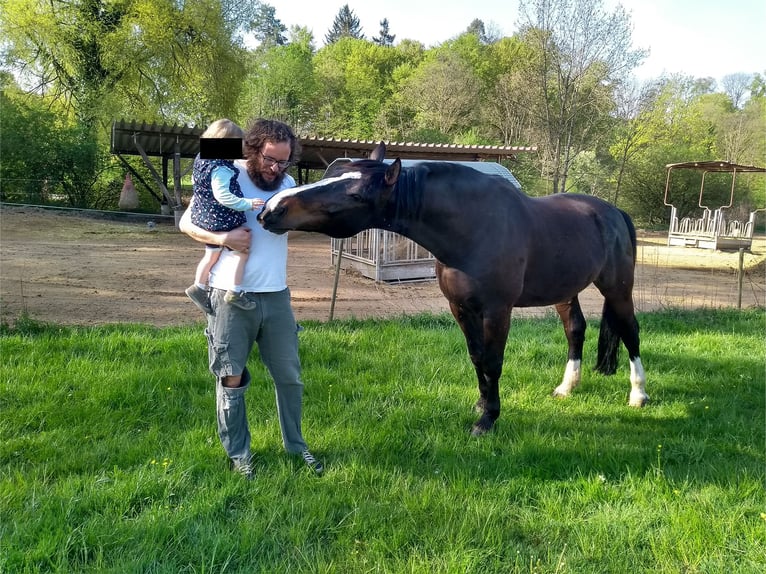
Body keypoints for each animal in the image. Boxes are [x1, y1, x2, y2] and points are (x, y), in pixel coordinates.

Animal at [258, 143, 648, 436]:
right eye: (331, 175)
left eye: (354, 193)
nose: (272, 208)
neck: (472, 227)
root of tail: (613, 212)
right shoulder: (460, 308)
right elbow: (476, 357)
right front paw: (482, 403)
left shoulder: (497, 311)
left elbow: (492, 360)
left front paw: (488, 419)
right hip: (566, 291)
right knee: (575, 330)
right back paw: (566, 388)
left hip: (617, 288)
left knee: (630, 331)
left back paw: (638, 395)